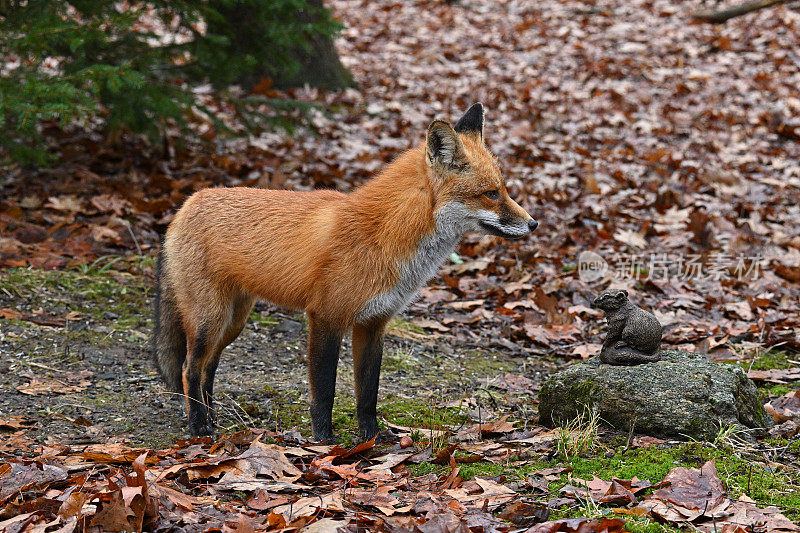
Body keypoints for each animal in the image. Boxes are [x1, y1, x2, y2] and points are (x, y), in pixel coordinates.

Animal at [153, 104, 536, 440]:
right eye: (490, 194)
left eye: (504, 190)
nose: (533, 223)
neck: (384, 234)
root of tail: (187, 203)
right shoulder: (326, 316)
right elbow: (324, 391)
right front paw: (324, 439)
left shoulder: (374, 323)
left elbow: (368, 394)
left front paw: (373, 438)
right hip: (210, 318)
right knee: (189, 369)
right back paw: (199, 425)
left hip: (233, 321)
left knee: (207, 369)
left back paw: (212, 418)